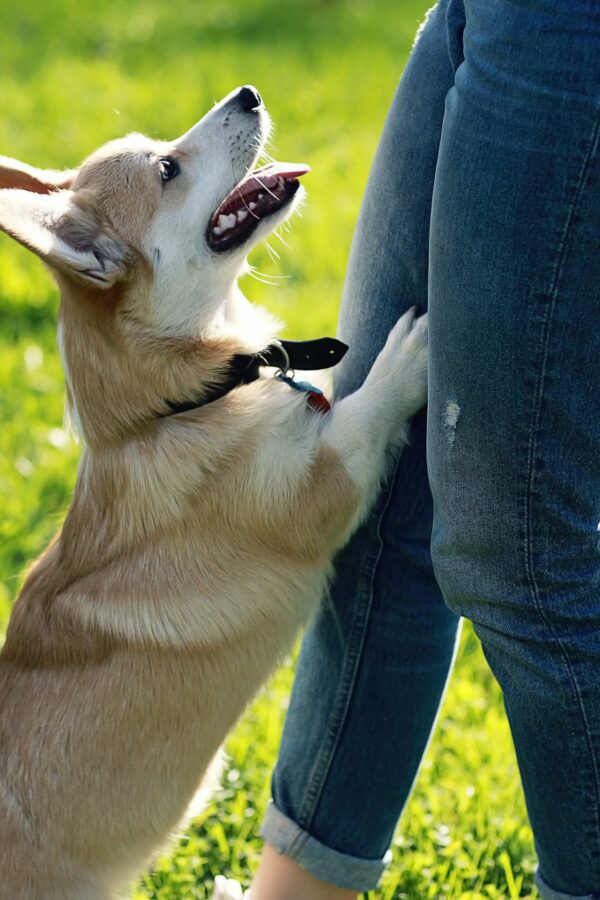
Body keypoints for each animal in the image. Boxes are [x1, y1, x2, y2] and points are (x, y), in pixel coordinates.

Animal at [0, 86, 428, 900]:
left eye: (159, 142)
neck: (179, 405)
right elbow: (363, 413)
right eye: (167, 168)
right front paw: (406, 357)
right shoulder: (323, 485)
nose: (248, 94)